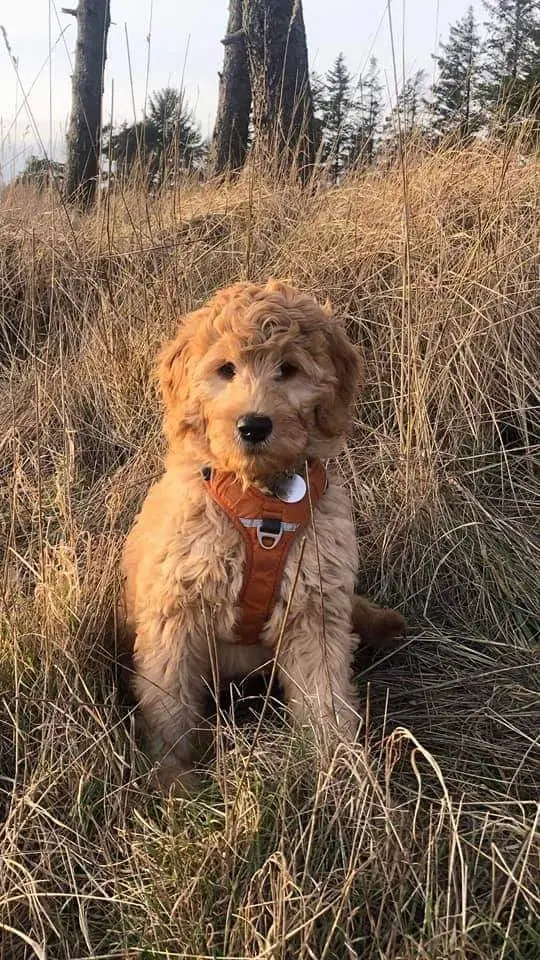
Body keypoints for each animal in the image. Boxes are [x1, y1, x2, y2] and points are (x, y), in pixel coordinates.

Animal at [120, 278, 402, 788]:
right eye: (225, 370)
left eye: (288, 370)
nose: (253, 425)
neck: (261, 501)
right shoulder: (175, 614)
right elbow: (169, 704)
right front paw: (174, 782)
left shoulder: (313, 608)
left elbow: (325, 700)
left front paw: (340, 776)